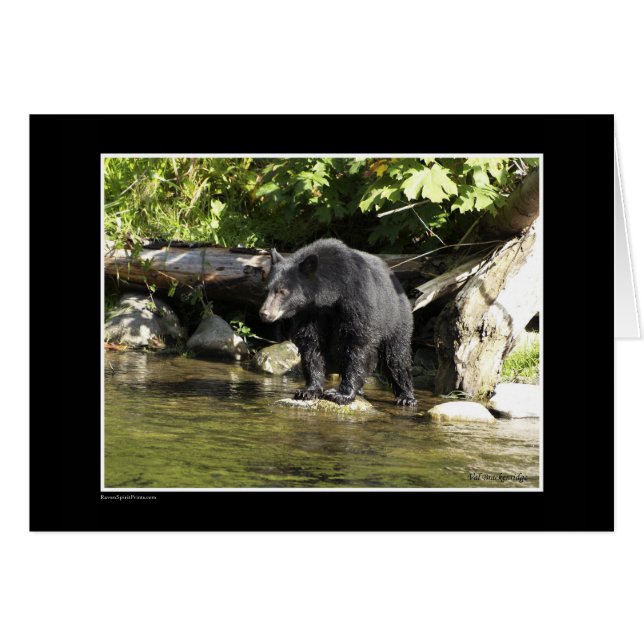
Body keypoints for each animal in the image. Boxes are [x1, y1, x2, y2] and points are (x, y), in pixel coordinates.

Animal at [259, 238, 417, 407]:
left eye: (282, 291)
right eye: (266, 290)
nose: (264, 313)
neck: (332, 294)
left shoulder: (357, 300)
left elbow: (357, 344)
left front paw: (341, 394)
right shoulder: (310, 313)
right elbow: (311, 344)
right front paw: (308, 390)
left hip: (395, 319)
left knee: (396, 356)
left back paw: (406, 396)